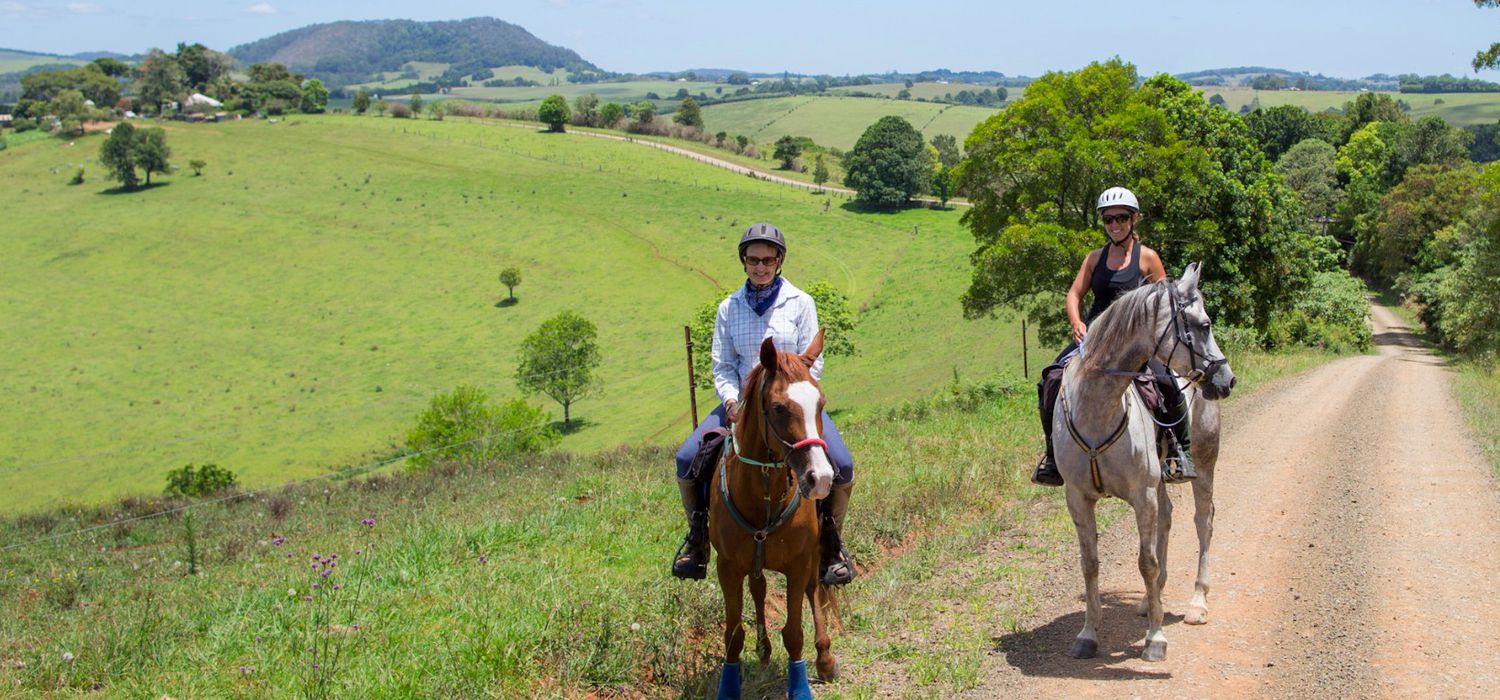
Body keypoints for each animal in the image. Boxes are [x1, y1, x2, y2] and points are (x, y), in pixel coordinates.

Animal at [708, 331, 840, 698]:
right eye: (779, 408)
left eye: (821, 403)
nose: (821, 479)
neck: (762, 496)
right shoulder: (727, 567)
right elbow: (732, 635)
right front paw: (729, 686)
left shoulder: (798, 564)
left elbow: (794, 632)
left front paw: (801, 686)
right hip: (754, 561)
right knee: (759, 588)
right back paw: (764, 649)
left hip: (813, 557)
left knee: (814, 590)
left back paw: (825, 658)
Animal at [1050, 263, 1236, 662]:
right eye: (1204, 325)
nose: (1228, 379)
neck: (1099, 406)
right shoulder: (1078, 499)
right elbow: (1090, 564)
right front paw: (1088, 635)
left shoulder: (1142, 495)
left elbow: (1146, 563)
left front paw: (1155, 639)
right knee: (1167, 517)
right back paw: (1154, 602)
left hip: (1204, 465)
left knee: (1203, 522)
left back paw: (1197, 603)